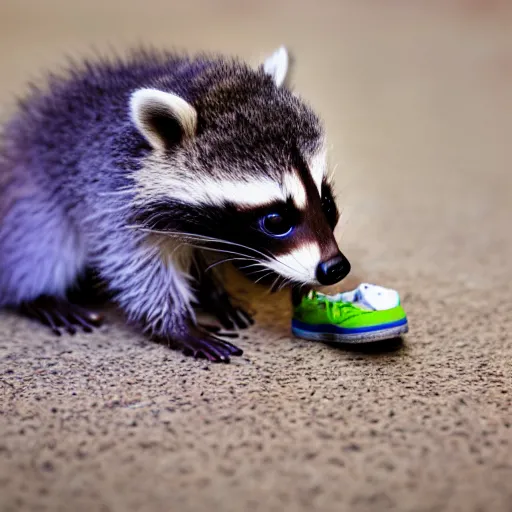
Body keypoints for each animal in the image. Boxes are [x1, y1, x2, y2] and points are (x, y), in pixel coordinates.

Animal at [0, 47, 348, 360]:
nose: (335, 268)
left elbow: (206, 252)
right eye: (275, 221)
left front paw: (215, 292)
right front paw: (176, 324)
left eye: (327, 204)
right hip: (34, 188)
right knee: (43, 240)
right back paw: (39, 295)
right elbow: (136, 267)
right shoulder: (111, 194)